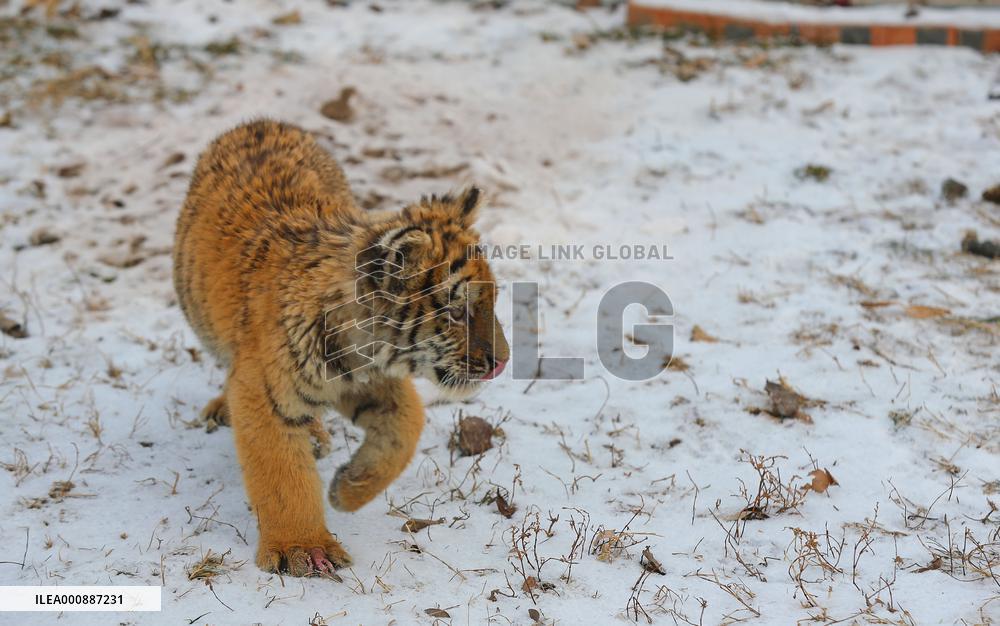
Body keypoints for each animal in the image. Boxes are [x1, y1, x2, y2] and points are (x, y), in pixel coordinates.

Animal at [172, 119, 510, 576]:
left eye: (492, 299)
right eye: (457, 312)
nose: (502, 362)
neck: (361, 350)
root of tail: (259, 122)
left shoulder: (373, 379)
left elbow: (407, 427)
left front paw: (347, 491)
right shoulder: (265, 394)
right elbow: (282, 474)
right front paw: (302, 548)